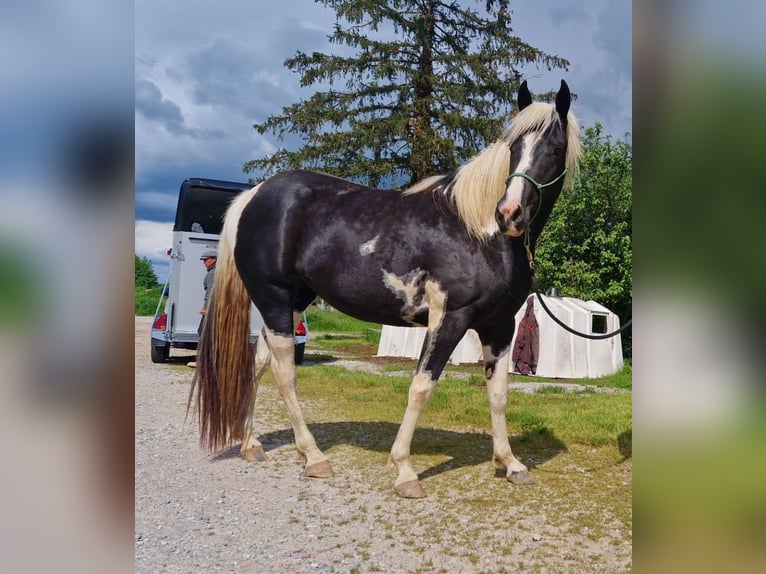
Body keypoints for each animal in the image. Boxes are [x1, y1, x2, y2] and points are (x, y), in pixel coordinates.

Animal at [192, 81, 584, 500]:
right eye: (512, 147)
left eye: (554, 149)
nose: (509, 213)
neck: (480, 234)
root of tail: (252, 197)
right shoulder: (449, 319)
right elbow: (422, 387)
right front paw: (405, 471)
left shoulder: (499, 326)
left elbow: (498, 392)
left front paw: (511, 464)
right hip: (274, 299)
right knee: (284, 373)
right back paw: (313, 457)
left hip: (292, 301)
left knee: (258, 363)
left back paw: (251, 445)